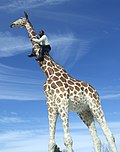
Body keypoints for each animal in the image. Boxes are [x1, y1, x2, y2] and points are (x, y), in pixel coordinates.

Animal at [10, 11, 117, 152]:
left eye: (21, 19)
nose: (11, 24)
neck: (48, 72)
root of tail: (95, 90)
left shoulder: (62, 102)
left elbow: (68, 139)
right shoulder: (51, 105)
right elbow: (51, 142)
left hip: (95, 105)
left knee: (109, 134)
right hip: (84, 111)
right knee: (96, 140)